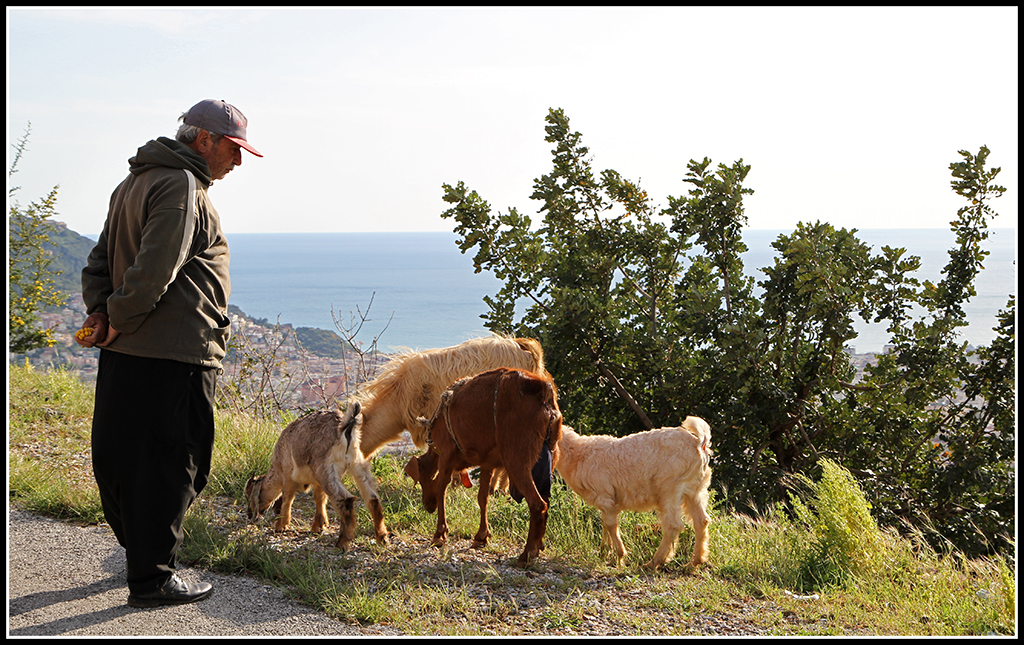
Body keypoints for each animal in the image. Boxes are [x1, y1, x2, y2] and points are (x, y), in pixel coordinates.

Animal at [244, 405, 364, 552]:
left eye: (248, 495)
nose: (250, 515)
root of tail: (346, 426)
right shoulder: (317, 483)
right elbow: (319, 499)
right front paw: (318, 526)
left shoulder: (288, 475)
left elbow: (287, 499)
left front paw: (280, 526)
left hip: (325, 470)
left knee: (345, 500)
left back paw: (342, 543)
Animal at [401, 370, 561, 569]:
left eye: (422, 479)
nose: (427, 507)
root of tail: (544, 389)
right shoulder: (487, 463)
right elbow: (482, 497)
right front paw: (481, 537)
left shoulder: (446, 455)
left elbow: (441, 491)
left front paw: (439, 534)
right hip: (550, 455)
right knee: (545, 500)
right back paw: (538, 545)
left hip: (517, 460)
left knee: (538, 505)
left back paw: (526, 555)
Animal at [552, 419, 712, 569]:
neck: (578, 455)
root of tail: (699, 443)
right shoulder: (606, 502)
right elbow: (605, 525)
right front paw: (603, 553)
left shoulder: (605, 497)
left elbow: (610, 525)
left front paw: (619, 558)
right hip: (694, 489)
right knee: (701, 521)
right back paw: (695, 562)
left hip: (669, 487)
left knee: (673, 525)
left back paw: (653, 563)